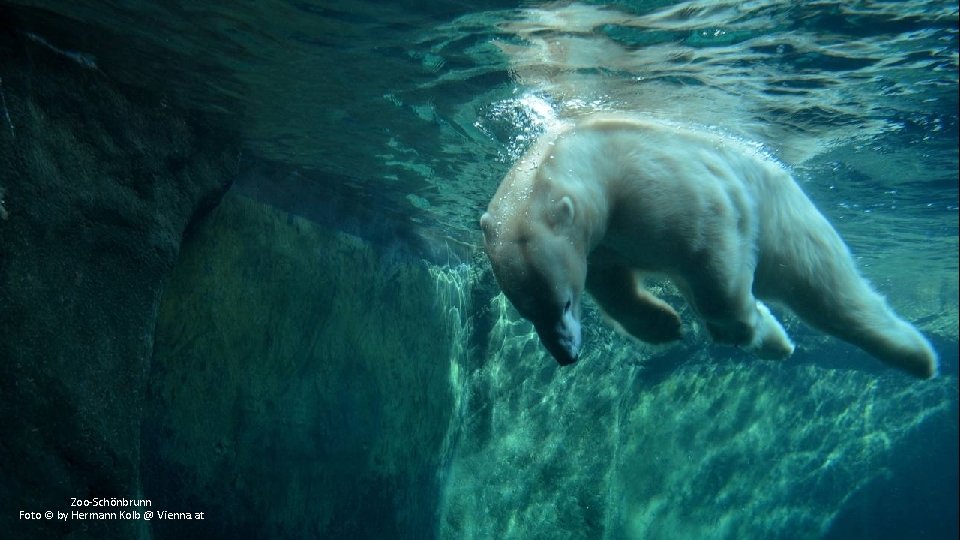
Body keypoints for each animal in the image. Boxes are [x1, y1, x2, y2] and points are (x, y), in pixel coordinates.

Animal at [480, 113, 936, 380]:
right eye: (527, 311)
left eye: (564, 303)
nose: (566, 355)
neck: (592, 157)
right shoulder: (602, 242)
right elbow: (615, 287)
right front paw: (665, 324)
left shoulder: (657, 185)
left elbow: (711, 248)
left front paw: (747, 331)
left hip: (788, 223)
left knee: (828, 290)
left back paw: (918, 357)